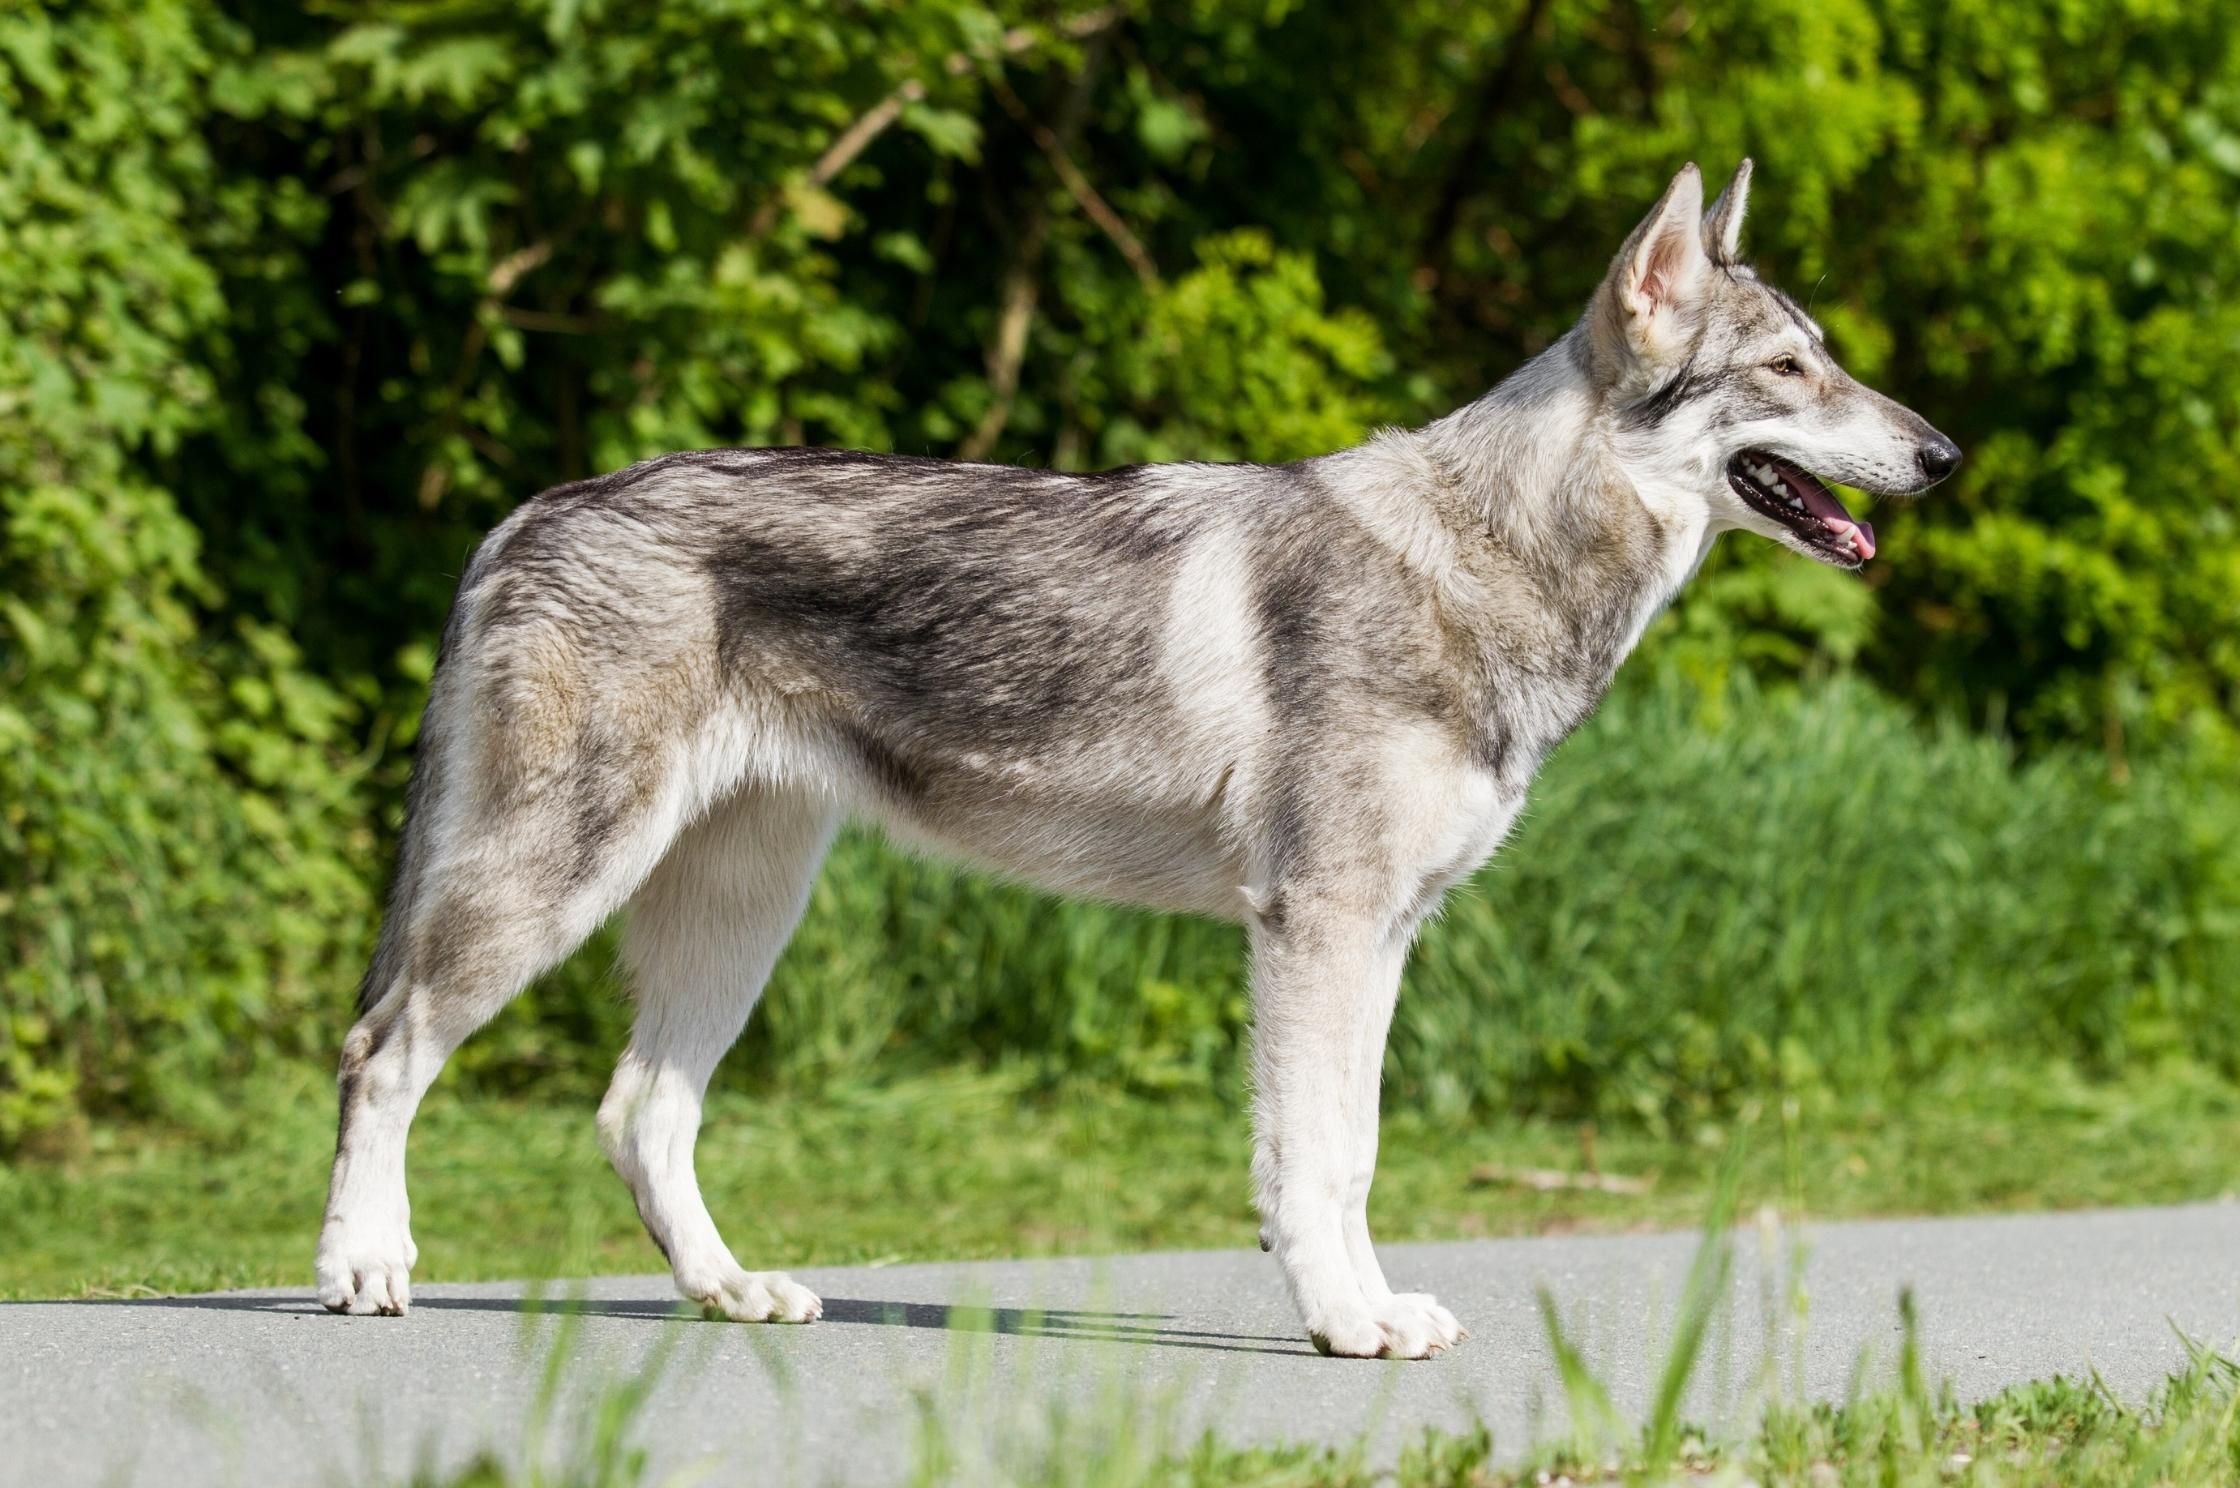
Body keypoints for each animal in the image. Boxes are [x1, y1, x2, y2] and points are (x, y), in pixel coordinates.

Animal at [320, 162, 1962, 1362]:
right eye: (1790, 370)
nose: (1946, 454)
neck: (1481, 560)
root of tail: (527, 512)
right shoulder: (1314, 931)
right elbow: (1309, 1161)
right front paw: (1345, 1325)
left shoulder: (1381, 939)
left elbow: (1353, 1153)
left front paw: (1372, 1310)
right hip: (548, 890)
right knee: (378, 1051)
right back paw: (364, 1269)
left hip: (735, 919)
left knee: (637, 1115)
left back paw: (735, 1296)